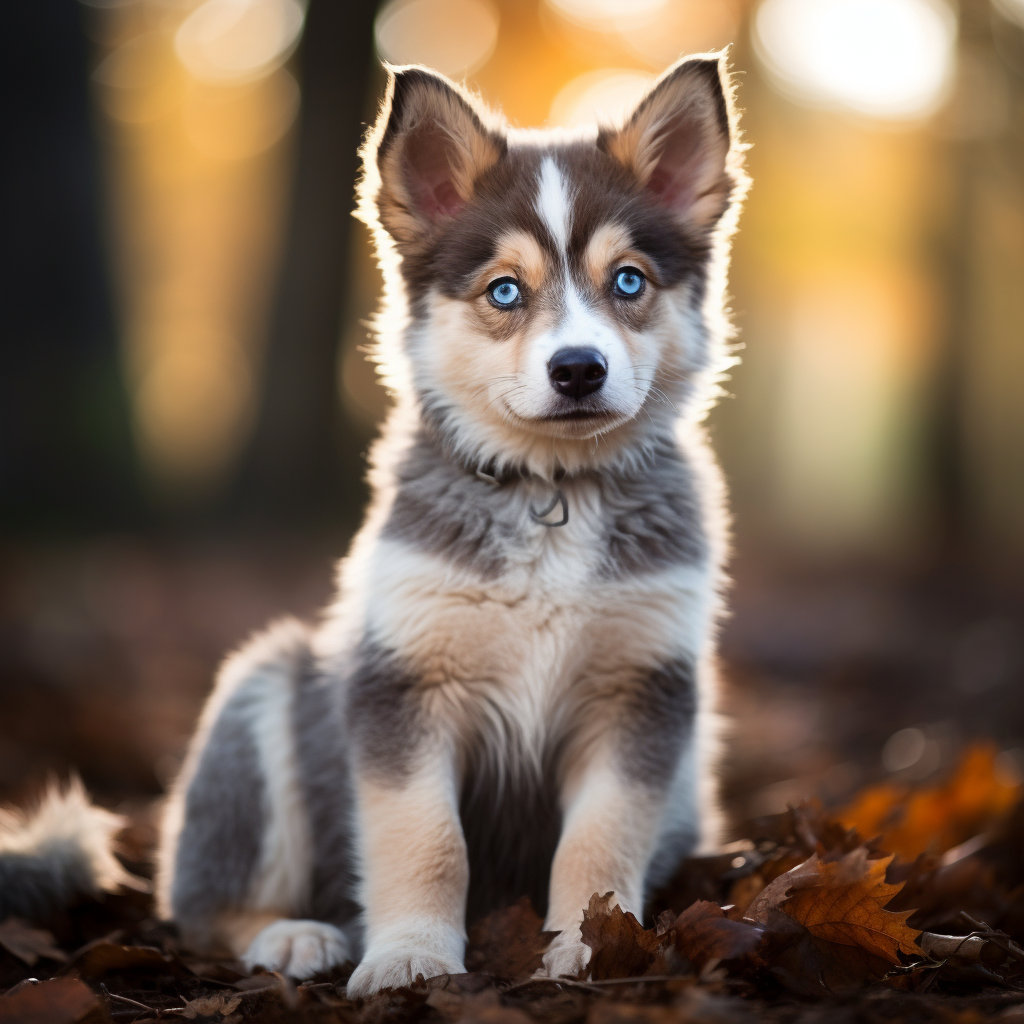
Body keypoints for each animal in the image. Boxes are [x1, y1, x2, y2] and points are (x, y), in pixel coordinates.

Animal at [153, 51, 745, 995]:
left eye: (628, 282)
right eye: (504, 290)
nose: (578, 368)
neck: (552, 492)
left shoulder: (644, 692)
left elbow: (600, 841)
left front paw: (591, 949)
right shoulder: (404, 683)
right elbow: (423, 840)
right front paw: (411, 958)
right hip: (261, 691)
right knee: (200, 907)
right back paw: (292, 935)